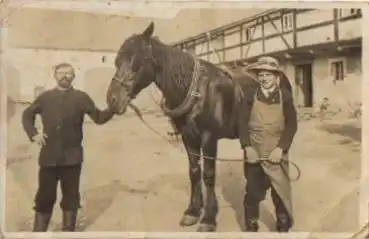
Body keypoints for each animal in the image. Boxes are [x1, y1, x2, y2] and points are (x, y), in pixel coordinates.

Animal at [105, 22, 292, 232]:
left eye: (139, 59)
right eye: (117, 60)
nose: (112, 99)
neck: (196, 90)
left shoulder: (209, 138)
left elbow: (208, 175)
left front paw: (209, 218)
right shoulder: (188, 136)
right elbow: (194, 172)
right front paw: (193, 211)